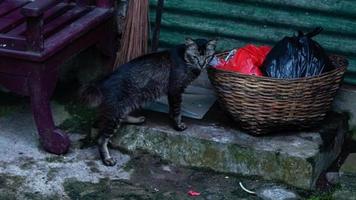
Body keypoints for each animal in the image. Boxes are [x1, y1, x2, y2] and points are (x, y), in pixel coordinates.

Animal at [80, 37, 217, 166]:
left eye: (207, 56)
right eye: (195, 57)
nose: (202, 64)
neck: (185, 58)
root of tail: (101, 83)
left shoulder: (171, 92)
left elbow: (172, 108)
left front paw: (172, 119)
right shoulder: (175, 89)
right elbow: (177, 110)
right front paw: (178, 126)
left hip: (125, 105)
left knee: (117, 119)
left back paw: (137, 119)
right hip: (115, 113)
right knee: (101, 139)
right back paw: (107, 159)